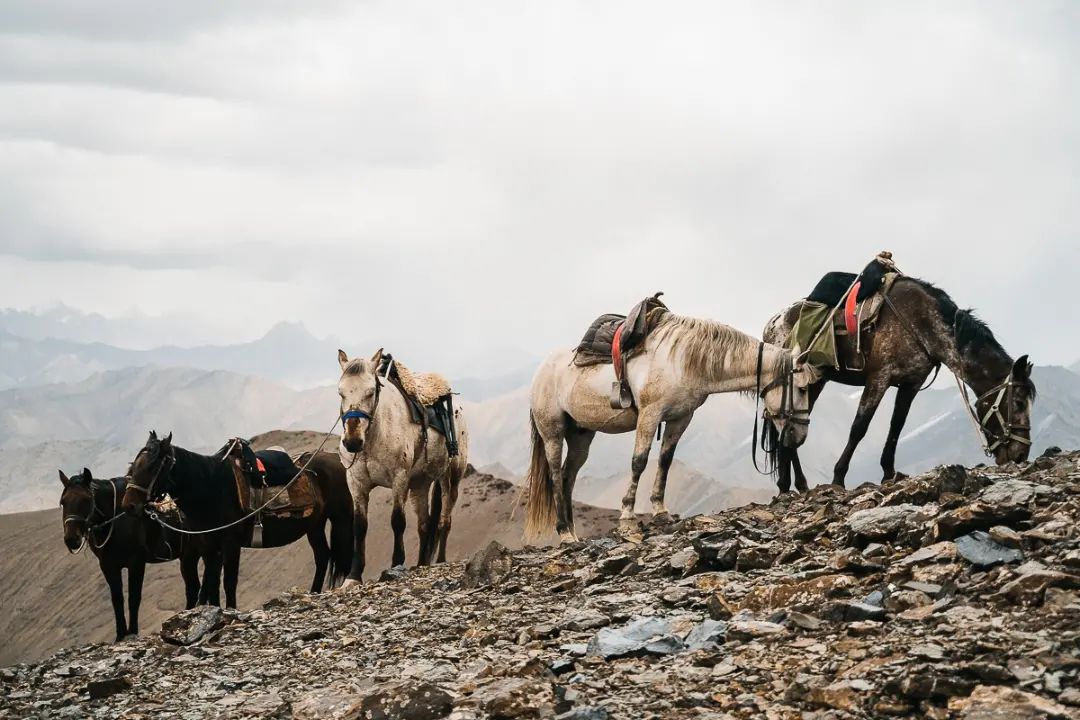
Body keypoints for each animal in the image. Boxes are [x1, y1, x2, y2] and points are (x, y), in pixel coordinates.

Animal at [58, 470, 206, 639]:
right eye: (63, 502)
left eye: (86, 499)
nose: (71, 539)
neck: (116, 518)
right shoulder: (108, 566)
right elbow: (117, 599)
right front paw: (120, 635)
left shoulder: (136, 564)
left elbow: (134, 598)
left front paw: (132, 631)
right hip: (188, 556)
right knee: (193, 587)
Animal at [119, 433, 352, 608]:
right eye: (133, 465)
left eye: (152, 466)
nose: (129, 505)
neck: (211, 486)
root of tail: (336, 460)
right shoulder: (208, 545)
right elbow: (212, 582)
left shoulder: (230, 543)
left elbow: (229, 580)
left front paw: (230, 610)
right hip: (315, 525)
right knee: (322, 556)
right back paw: (313, 593)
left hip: (340, 518)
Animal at [332, 349, 468, 587]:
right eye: (341, 393)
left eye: (370, 392)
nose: (352, 442)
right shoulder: (357, 483)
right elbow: (360, 526)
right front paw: (353, 576)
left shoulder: (399, 479)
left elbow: (397, 521)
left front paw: (396, 564)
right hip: (420, 484)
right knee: (425, 524)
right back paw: (422, 563)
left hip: (450, 478)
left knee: (445, 520)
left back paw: (440, 560)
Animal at [527, 306, 812, 544]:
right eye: (801, 388)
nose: (800, 435)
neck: (684, 360)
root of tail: (541, 371)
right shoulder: (650, 415)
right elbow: (639, 462)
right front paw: (628, 518)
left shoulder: (680, 418)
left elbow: (665, 460)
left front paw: (660, 511)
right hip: (552, 432)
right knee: (555, 474)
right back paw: (564, 531)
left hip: (581, 436)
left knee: (568, 476)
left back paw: (573, 533)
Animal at [764, 267, 1032, 492]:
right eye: (1019, 402)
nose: (1021, 454)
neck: (922, 323)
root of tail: (770, 326)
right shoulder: (879, 378)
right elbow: (859, 427)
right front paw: (838, 477)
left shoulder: (910, 384)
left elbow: (897, 426)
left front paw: (889, 473)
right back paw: (790, 485)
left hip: (815, 381)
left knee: (791, 424)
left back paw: (795, 485)